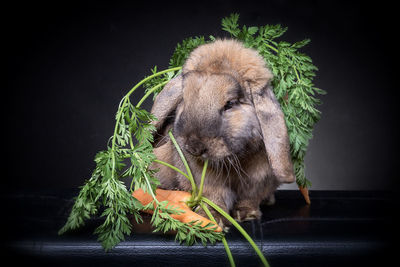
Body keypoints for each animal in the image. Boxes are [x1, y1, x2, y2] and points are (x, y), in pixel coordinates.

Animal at [148, 39, 296, 228]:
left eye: (230, 104)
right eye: (184, 100)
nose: (193, 147)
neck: (237, 159)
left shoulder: (259, 181)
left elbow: (250, 199)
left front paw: (246, 215)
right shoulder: (206, 181)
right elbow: (214, 198)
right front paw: (212, 219)